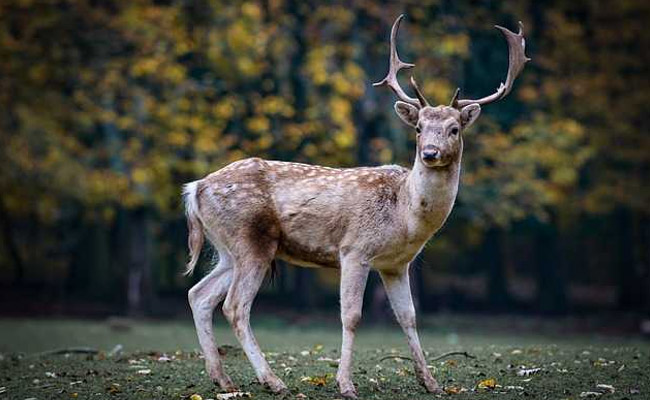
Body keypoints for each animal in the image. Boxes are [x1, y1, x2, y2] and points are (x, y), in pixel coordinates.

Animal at [184, 14, 528, 398]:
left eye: (454, 129)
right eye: (419, 128)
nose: (429, 153)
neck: (404, 215)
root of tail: (195, 188)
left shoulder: (396, 265)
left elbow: (408, 316)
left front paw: (431, 382)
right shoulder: (354, 249)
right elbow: (351, 316)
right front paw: (346, 384)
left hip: (227, 248)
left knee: (199, 294)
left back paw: (223, 379)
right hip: (250, 240)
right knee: (234, 306)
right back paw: (273, 381)